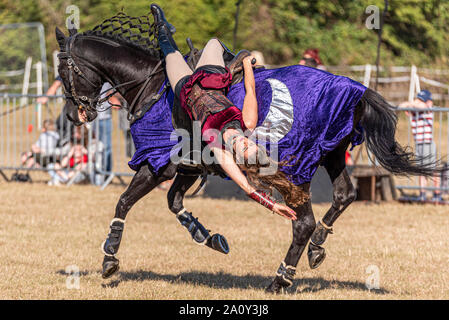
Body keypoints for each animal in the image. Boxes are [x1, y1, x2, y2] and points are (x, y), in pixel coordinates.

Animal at [55, 19, 438, 292]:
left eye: (62, 72)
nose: (74, 116)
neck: (150, 86)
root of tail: (355, 89)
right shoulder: (189, 167)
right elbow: (174, 203)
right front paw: (206, 236)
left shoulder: (157, 164)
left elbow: (124, 202)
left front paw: (109, 258)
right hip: (331, 152)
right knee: (344, 195)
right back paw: (315, 248)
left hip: (299, 168)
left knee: (303, 223)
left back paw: (281, 279)